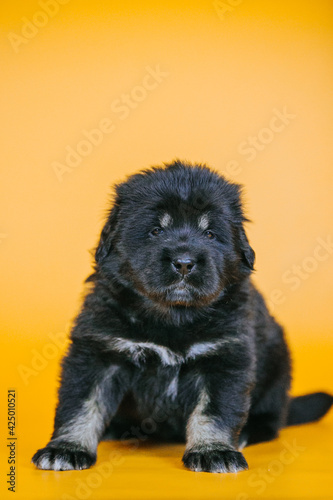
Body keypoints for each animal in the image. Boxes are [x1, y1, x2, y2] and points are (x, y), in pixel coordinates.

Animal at [31, 161, 332, 472]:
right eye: (155, 231)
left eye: (210, 234)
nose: (184, 263)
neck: (172, 317)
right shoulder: (98, 352)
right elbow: (81, 405)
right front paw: (67, 448)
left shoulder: (225, 358)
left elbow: (214, 411)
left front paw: (214, 451)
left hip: (278, 366)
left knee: (273, 419)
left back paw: (248, 432)